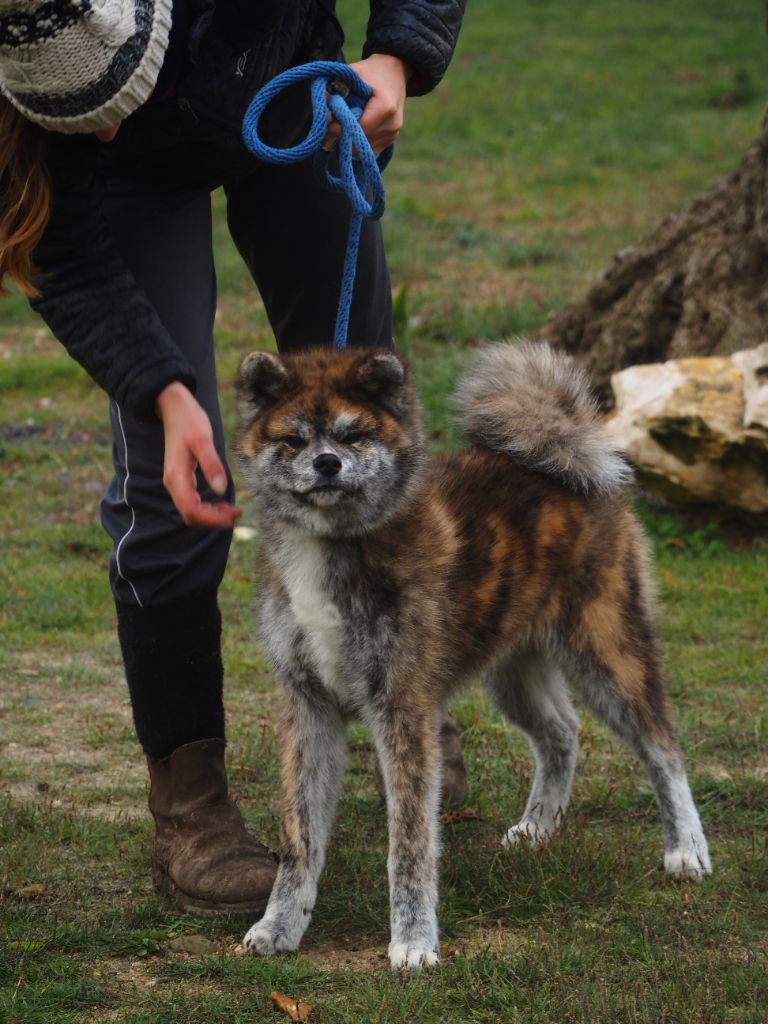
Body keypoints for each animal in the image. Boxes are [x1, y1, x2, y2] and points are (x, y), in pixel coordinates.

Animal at [233, 342, 708, 966]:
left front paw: (413, 941)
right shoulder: (307, 707)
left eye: (354, 434)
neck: (332, 544)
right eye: (293, 439)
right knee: (562, 733)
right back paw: (538, 827)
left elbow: (409, 842)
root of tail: (572, 448)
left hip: (607, 650)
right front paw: (280, 925)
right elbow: (299, 838)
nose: (328, 464)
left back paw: (687, 849)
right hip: (511, 671)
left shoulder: (404, 707)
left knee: (662, 747)